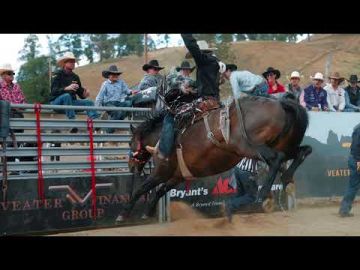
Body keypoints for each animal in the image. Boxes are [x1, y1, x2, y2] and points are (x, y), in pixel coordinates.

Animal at [119, 96, 310, 220]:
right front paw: (148, 211)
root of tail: (280, 103)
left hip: (249, 147)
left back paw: (263, 194)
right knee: (302, 151)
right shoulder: (177, 176)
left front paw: (124, 214)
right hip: (283, 144)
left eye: (129, 142)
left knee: (277, 158)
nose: (131, 167)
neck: (162, 137)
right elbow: (159, 191)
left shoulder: (161, 172)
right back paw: (287, 180)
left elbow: (141, 189)